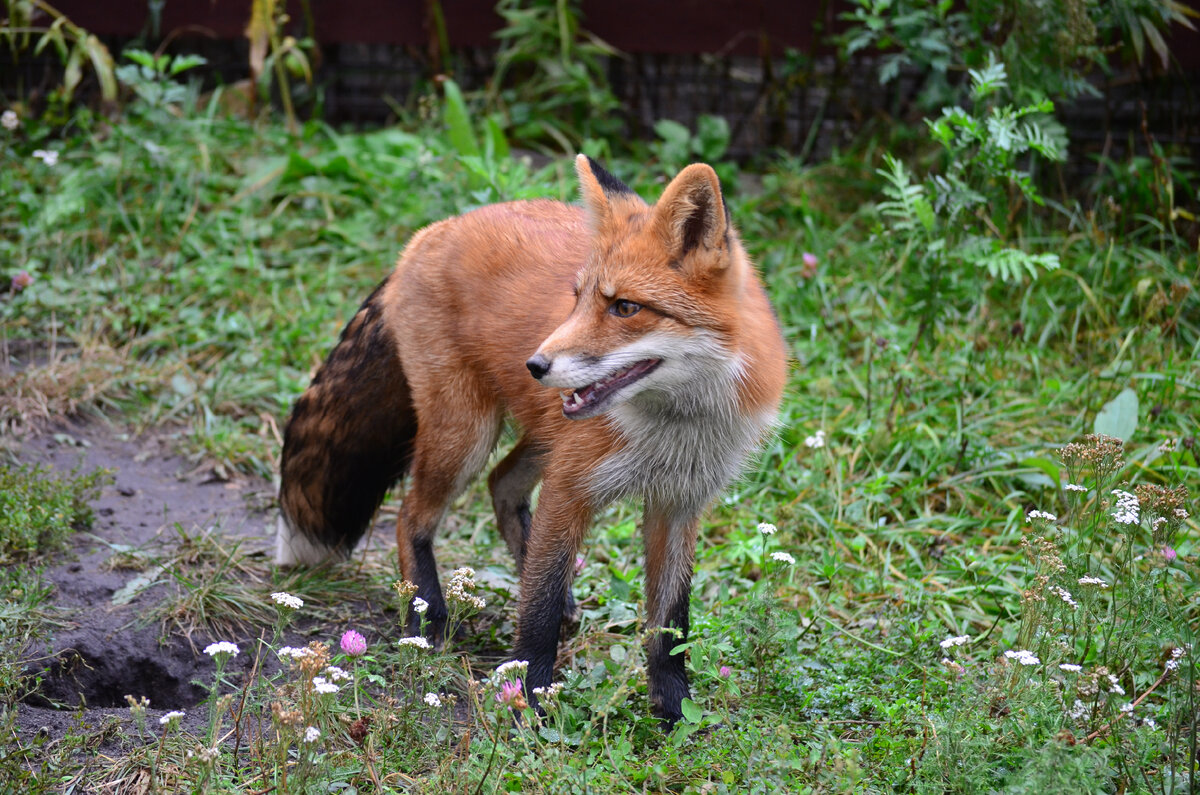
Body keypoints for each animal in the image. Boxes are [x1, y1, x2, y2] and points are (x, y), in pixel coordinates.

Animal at [276, 153, 792, 720]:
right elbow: (539, 604)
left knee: (501, 484)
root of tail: (433, 231)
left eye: (625, 307)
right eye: (578, 298)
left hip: (540, 437)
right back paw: (426, 615)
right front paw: (528, 694)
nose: (536, 365)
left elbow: (670, 623)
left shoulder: (680, 504)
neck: (676, 430)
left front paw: (675, 710)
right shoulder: (569, 486)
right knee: (412, 515)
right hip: (467, 436)